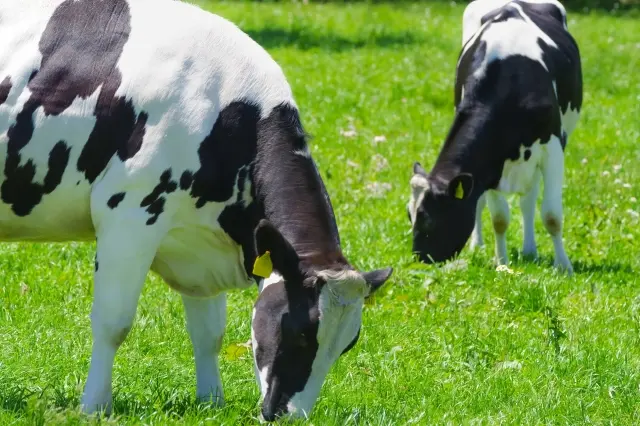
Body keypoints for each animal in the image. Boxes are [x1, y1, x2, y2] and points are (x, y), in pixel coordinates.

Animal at [0, 0, 392, 420]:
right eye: (301, 333)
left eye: (347, 344)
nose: (291, 417)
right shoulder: (129, 218)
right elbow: (113, 322)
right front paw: (94, 406)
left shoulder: (199, 239)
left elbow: (209, 334)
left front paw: (211, 401)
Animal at [408, 0, 584, 272]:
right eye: (410, 215)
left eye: (429, 219)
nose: (420, 258)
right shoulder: (489, 164)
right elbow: (499, 218)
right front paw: (501, 262)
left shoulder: (553, 147)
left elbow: (552, 215)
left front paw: (564, 266)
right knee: (490, 202)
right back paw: (480, 245)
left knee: (529, 199)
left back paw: (530, 250)